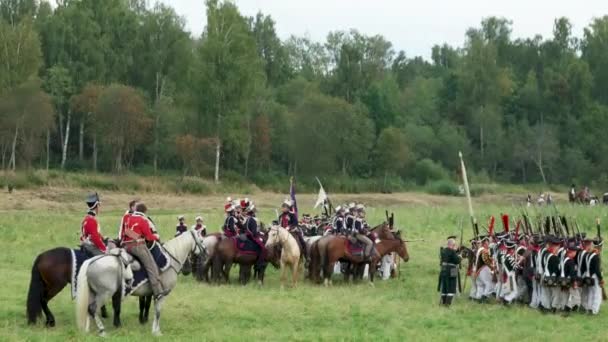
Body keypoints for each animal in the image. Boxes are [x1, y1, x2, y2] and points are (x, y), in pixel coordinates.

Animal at [76, 230, 207, 336]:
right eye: (201, 240)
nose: (206, 255)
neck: (170, 260)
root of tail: (92, 261)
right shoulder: (161, 295)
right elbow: (158, 312)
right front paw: (157, 332)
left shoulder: (151, 295)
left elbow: (150, 308)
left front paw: (153, 328)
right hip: (105, 294)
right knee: (93, 308)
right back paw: (102, 331)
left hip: (93, 293)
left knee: (89, 309)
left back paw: (87, 330)